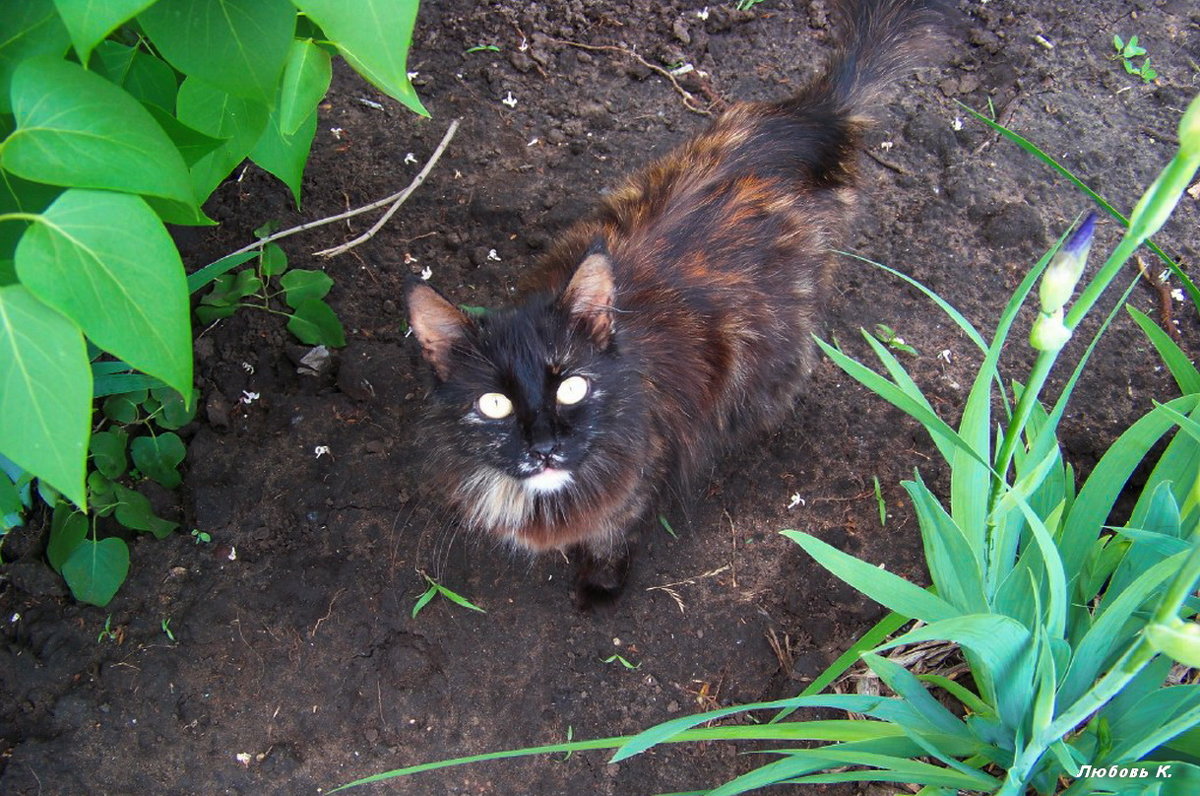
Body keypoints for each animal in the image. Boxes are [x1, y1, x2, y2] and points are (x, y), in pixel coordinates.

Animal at [405, 0, 945, 607]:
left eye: (572, 387)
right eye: (494, 403)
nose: (543, 446)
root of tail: (809, 117)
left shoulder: (639, 477)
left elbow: (615, 530)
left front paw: (600, 586)